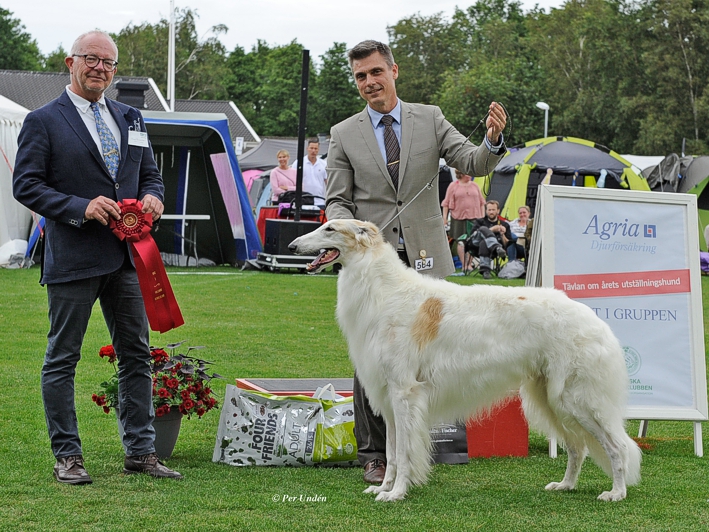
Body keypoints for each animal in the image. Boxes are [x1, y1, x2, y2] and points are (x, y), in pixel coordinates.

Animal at [288, 218, 640, 500]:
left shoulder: (404, 393)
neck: (385, 291)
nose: (292, 245)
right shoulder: (388, 399)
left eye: (330, 229)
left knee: (618, 447)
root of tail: (595, 320)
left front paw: (396, 493)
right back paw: (565, 485)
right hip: (552, 399)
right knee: (578, 447)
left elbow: (404, 453)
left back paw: (617, 492)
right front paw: (383, 487)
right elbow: (391, 453)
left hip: (577, 399)